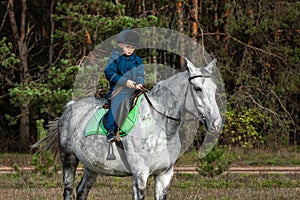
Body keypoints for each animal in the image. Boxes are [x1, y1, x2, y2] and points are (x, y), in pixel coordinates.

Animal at [32, 58, 223, 200]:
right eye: (197, 88)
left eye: (214, 89)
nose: (216, 123)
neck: (159, 128)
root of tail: (70, 106)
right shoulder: (140, 175)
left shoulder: (164, 175)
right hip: (69, 159)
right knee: (68, 191)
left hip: (92, 166)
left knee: (81, 191)